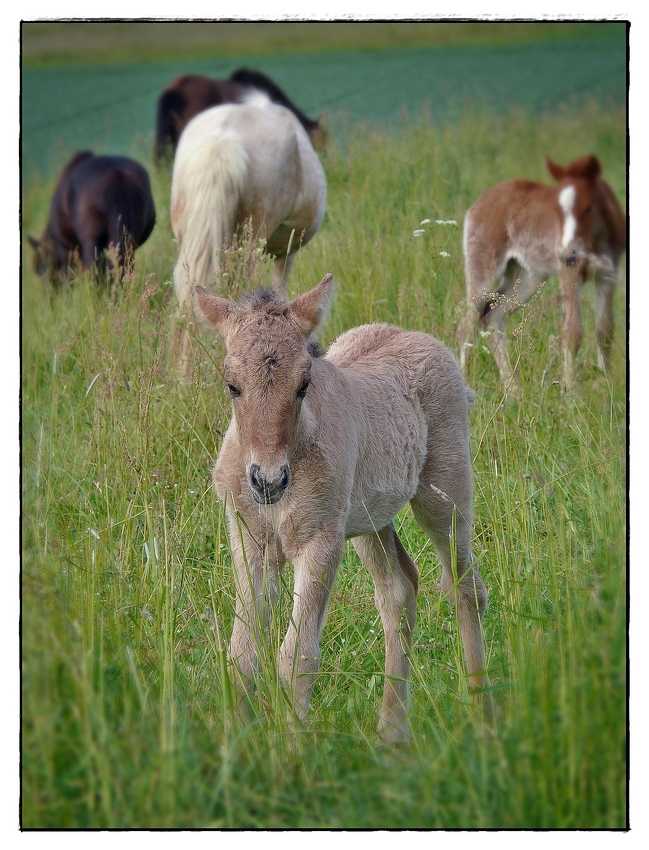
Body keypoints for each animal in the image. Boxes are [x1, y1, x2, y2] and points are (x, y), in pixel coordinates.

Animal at [29, 151, 156, 284]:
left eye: (40, 268)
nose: (47, 289)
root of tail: (118, 174)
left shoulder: (64, 248)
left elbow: (67, 277)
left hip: (91, 243)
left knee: (94, 273)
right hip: (127, 243)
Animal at [195, 274, 488, 744]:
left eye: (303, 384)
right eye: (231, 385)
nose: (268, 480)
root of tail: (421, 338)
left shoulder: (320, 540)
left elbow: (298, 657)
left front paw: (292, 754)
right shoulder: (249, 538)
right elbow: (242, 652)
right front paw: (235, 749)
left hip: (444, 495)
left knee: (465, 588)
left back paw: (484, 721)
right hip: (369, 520)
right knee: (399, 591)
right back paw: (392, 734)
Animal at [458, 154, 624, 390]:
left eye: (589, 208)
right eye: (557, 211)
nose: (566, 253)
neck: (597, 240)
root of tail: (482, 199)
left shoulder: (607, 275)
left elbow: (605, 331)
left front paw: (606, 385)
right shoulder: (570, 273)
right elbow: (572, 333)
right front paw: (570, 392)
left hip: (527, 276)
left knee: (492, 315)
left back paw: (514, 390)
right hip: (483, 268)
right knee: (467, 322)